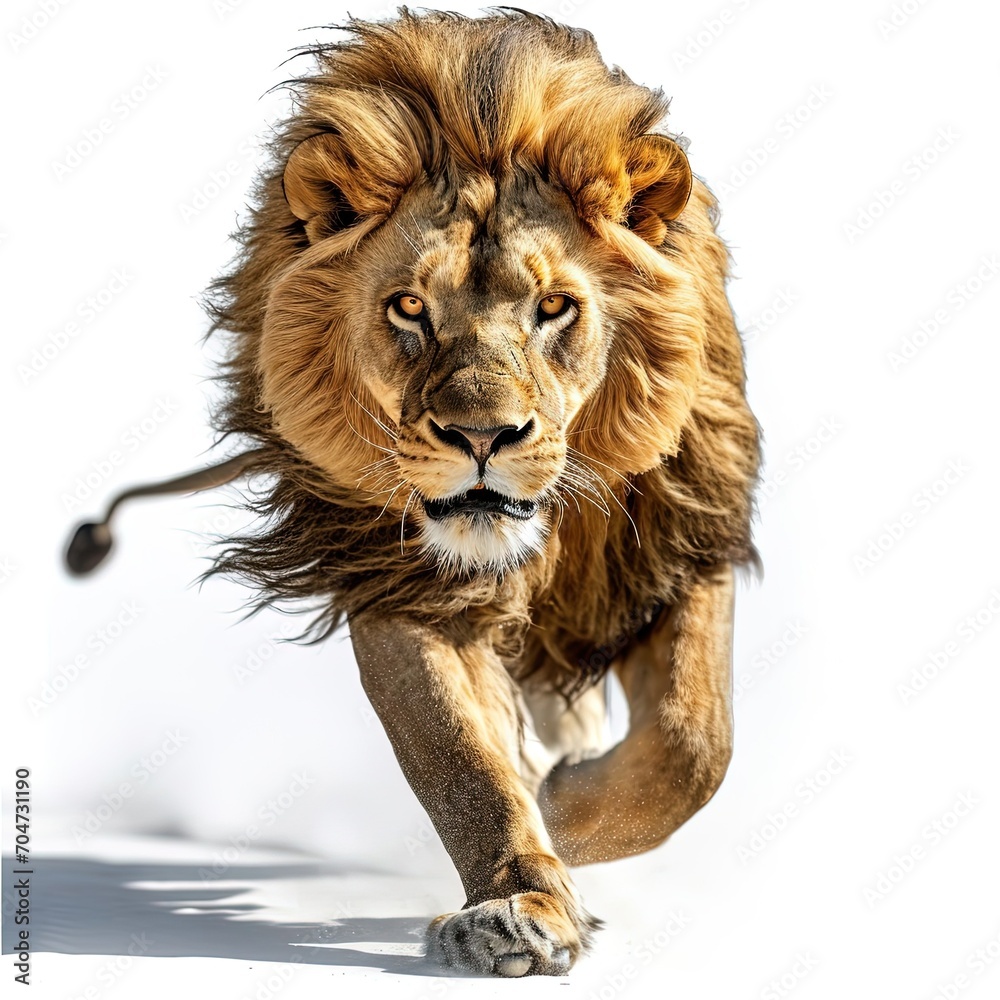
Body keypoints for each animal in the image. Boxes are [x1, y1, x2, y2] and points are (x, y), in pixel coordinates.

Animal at [70, 8, 760, 978]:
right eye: (407, 308)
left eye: (554, 308)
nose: (481, 438)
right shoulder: (398, 581)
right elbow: (458, 755)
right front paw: (518, 905)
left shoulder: (681, 540)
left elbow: (694, 744)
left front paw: (568, 815)